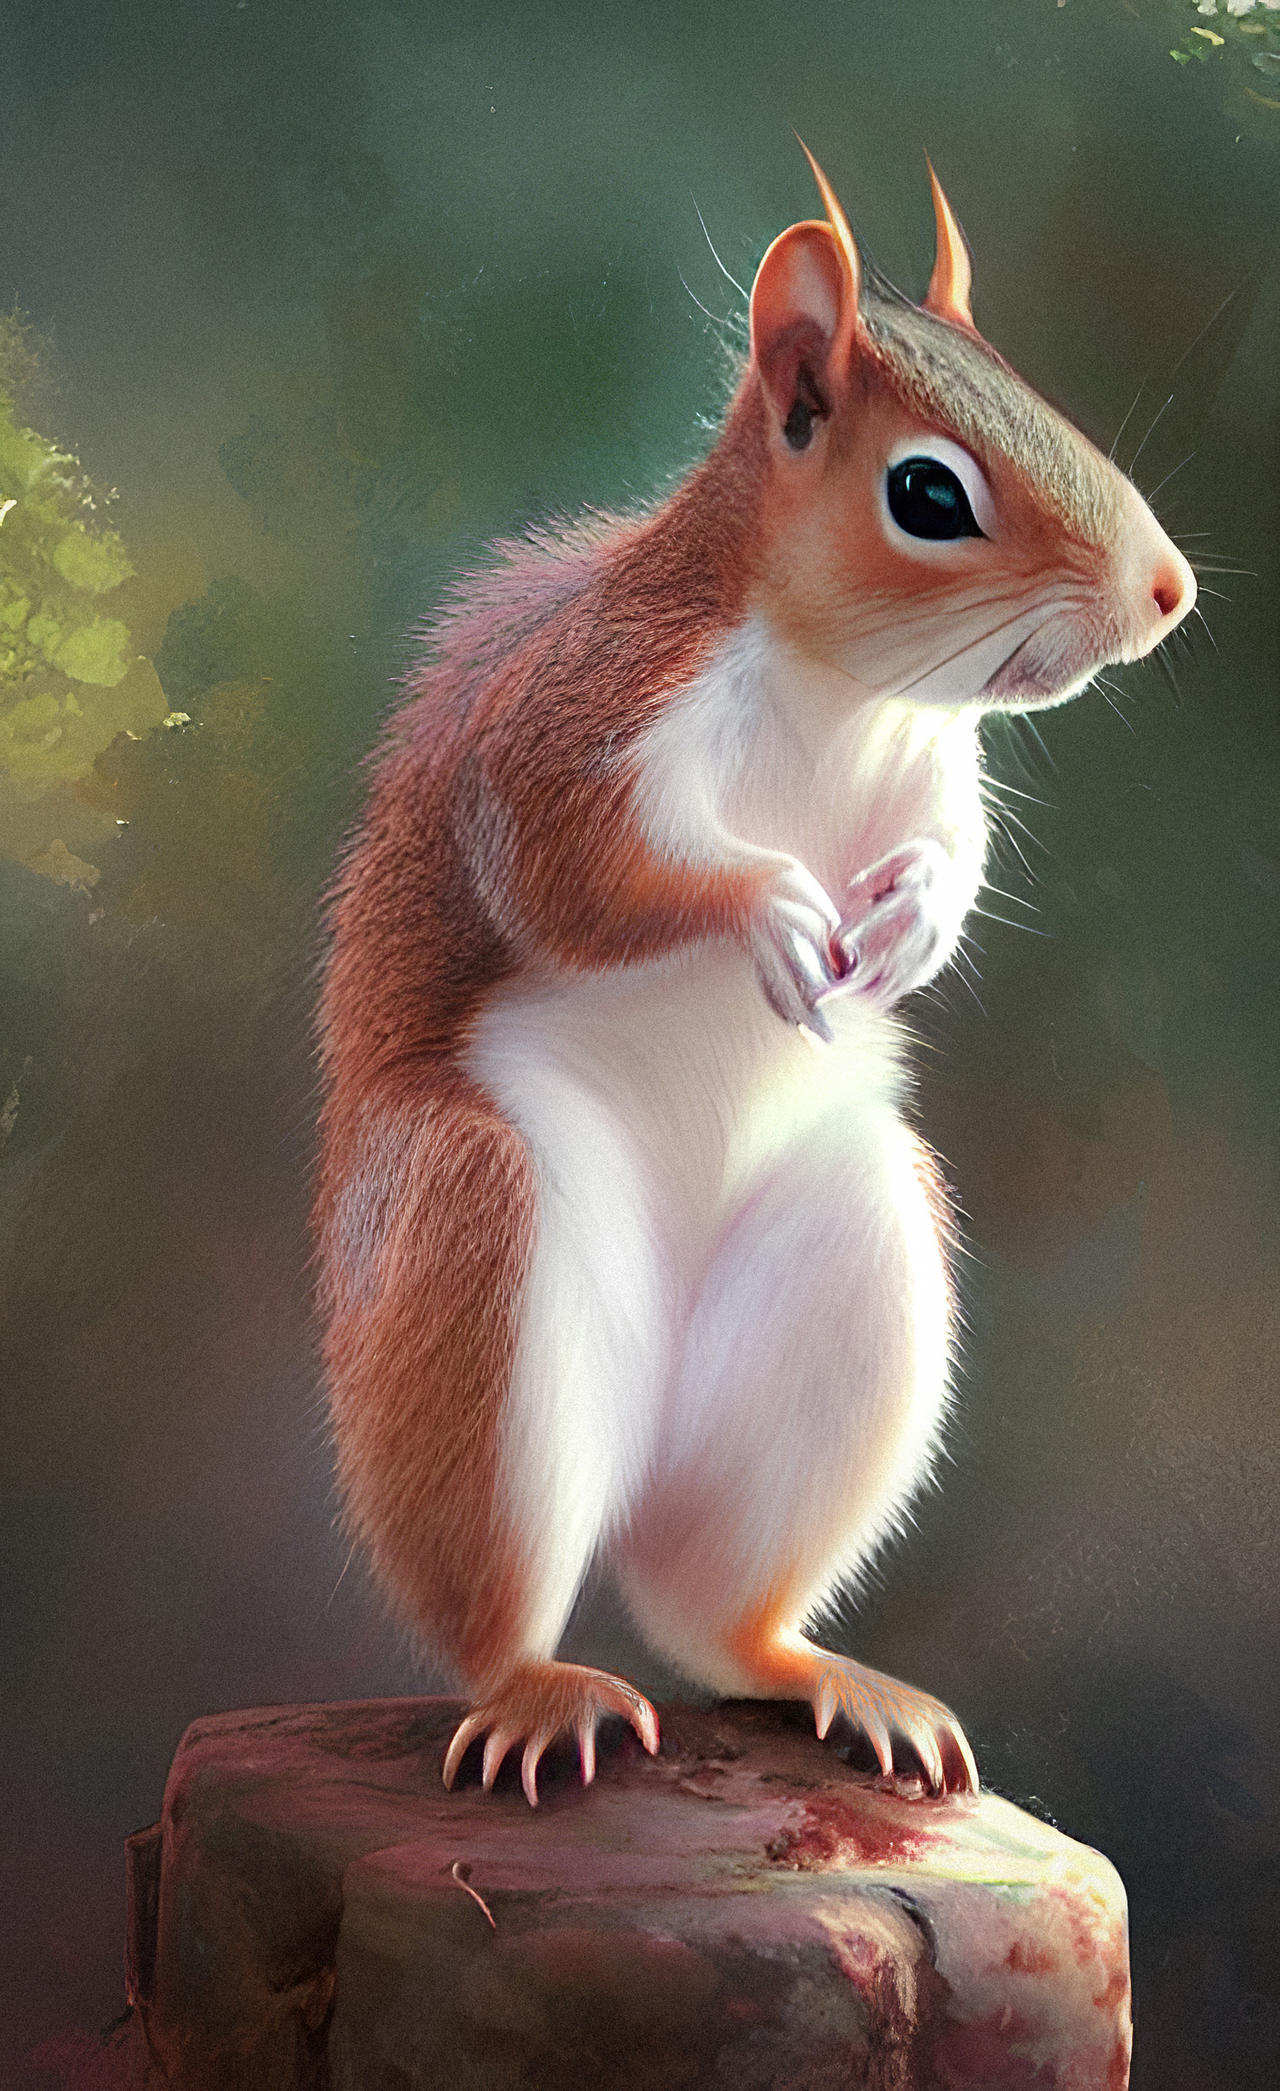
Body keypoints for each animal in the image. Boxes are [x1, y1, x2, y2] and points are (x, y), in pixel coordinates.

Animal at [315, 147, 1194, 1806]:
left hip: (852, 1270)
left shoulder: (939, 769)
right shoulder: (582, 722)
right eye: (929, 494)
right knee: (497, 1599)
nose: (1167, 592)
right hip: (478, 1246)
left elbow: (955, 849)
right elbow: (574, 871)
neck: (841, 688)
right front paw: (768, 911)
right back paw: (538, 1689)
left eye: (1031, 381)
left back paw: (827, 1674)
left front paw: (911, 923)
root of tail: (636, 1442)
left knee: (715, 1611)